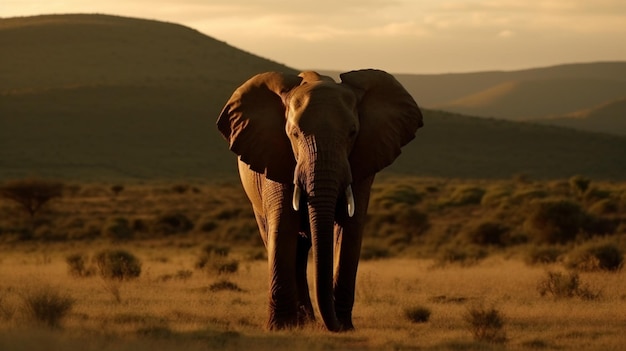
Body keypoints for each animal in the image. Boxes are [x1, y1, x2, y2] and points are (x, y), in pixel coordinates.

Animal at [216, 69, 424, 332]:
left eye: (353, 132)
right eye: (294, 133)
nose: (333, 325)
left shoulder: (362, 161)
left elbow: (349, 228)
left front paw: (344, 326)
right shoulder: (275, 158)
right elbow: (283, 224)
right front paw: (279, 328)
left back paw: (307, 320)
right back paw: (300, 321)